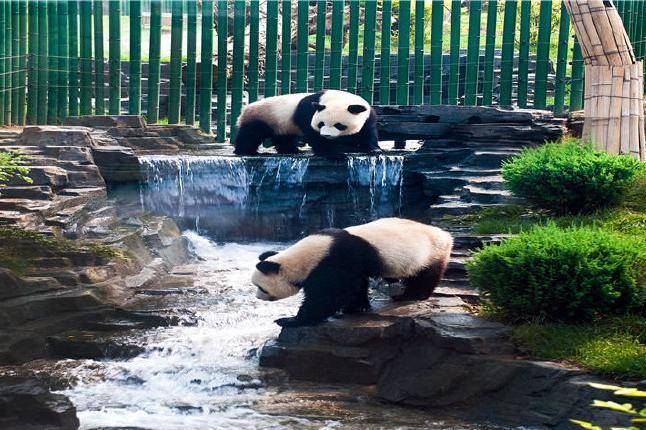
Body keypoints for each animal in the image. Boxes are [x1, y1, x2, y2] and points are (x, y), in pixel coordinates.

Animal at [233, 89, 380, 156]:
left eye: (339, 125)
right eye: (321, 124)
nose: (326, 135)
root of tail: (245, 108)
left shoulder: (368, 116)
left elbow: (368, 132)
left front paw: (374, 149)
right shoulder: (308, 111)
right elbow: (312, 132)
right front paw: (332, 153)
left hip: (282, 124)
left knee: (285, 137)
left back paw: (291, 150)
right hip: (262, 117)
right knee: (250, 135)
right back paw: (245, 151)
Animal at [251, 218, 454, 326]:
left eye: (261, 287)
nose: (258, 297)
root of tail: (446, 234)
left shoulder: (336, 260)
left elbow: (329, 295)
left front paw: (290, 320)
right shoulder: (351, 265)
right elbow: (356, 285)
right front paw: (356, 307)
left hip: (430, 252)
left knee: (425, 275)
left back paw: (410, 295)